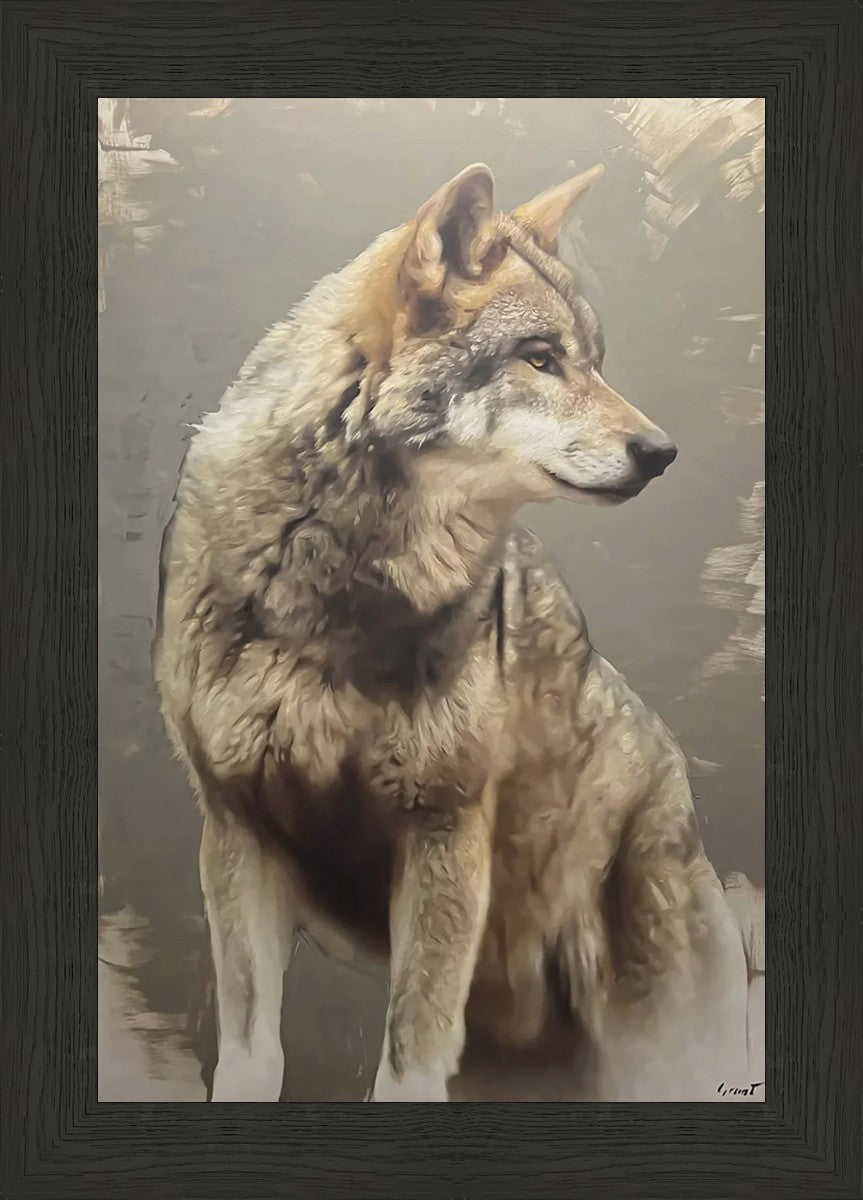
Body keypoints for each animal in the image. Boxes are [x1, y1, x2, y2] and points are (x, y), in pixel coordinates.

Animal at [154, 162, 762, 1102]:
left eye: (594, 360)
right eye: (541, 358)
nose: (661, 453)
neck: (331, 594)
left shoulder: (443, 837)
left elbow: (406, 1065)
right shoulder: (236, 834)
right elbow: (254, 1056)